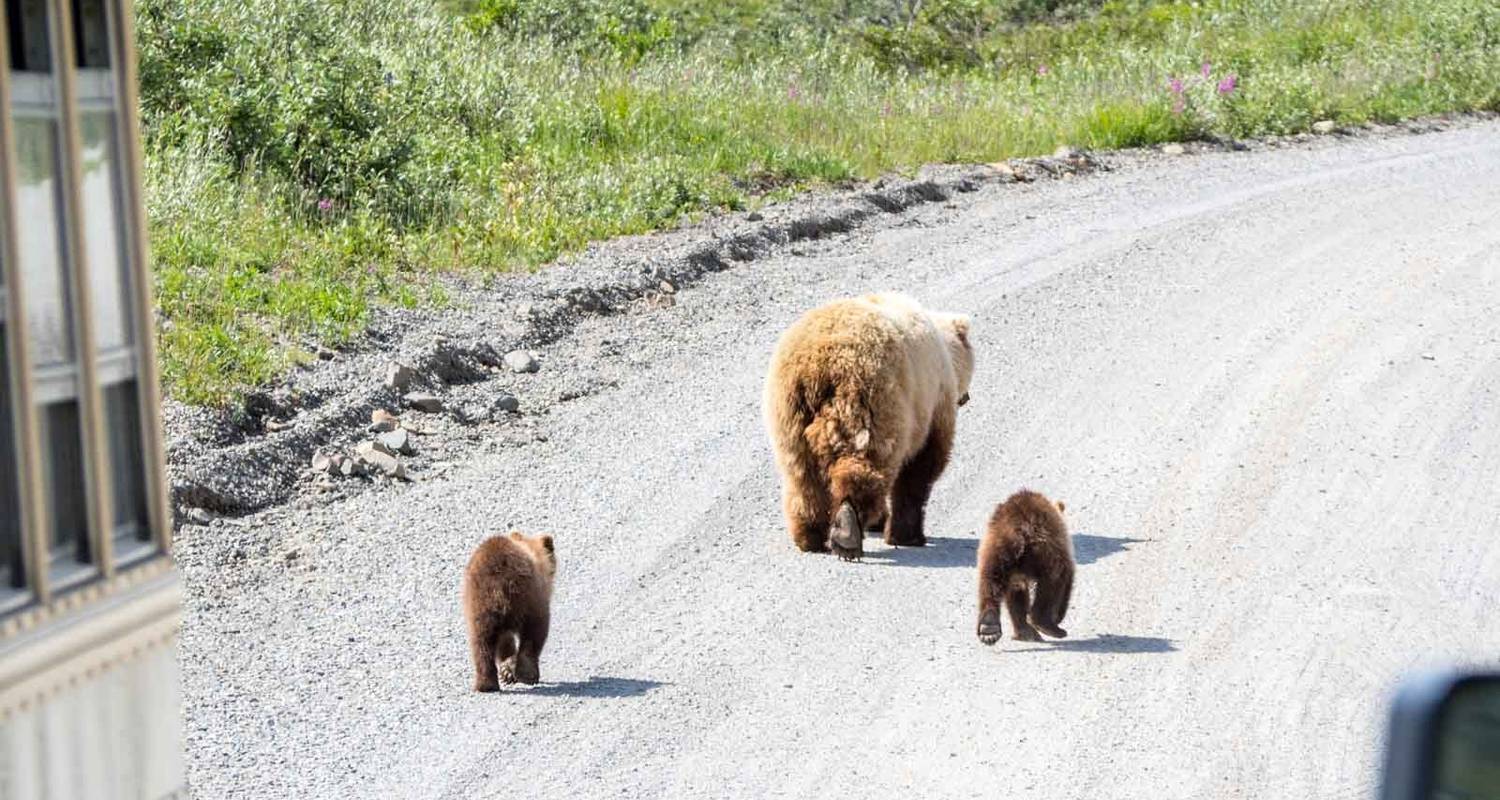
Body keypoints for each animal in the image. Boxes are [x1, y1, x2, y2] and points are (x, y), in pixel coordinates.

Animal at [762, 289, 972, 558]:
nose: (966, 398)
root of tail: (815, 370)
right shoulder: (932, 403)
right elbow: (921, 467)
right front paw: (909, 534)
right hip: (869, 399)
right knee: (864, 463)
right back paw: (847, 530)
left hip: (789, 415)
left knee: (801, 475)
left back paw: (809, 535)